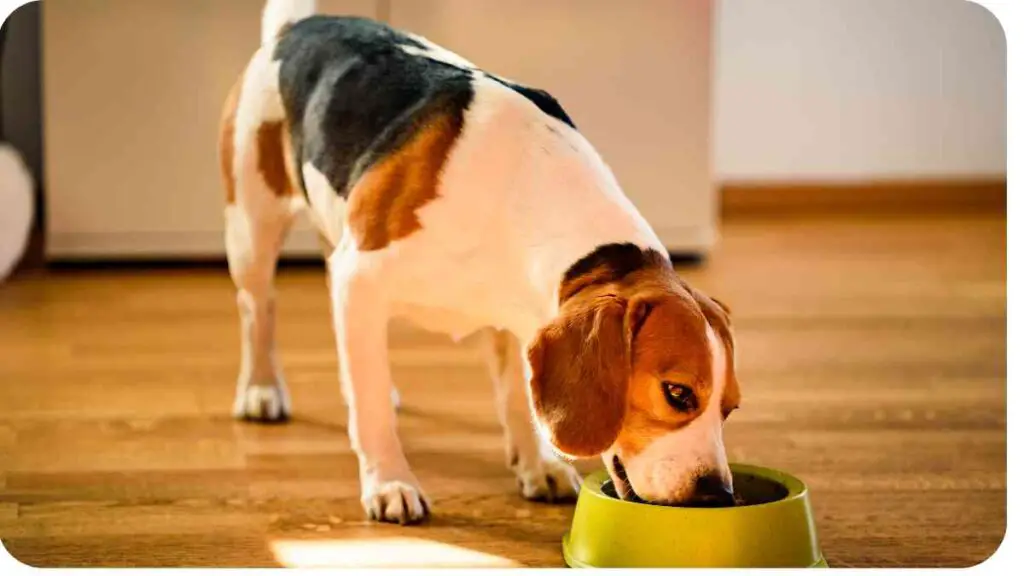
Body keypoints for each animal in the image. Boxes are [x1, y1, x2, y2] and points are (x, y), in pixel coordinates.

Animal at [220, 0, 741, 522]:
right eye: (678, 393)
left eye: (730, 409)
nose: (718, 495)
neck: (521, 191)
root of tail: (301, 25)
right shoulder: (361, 278)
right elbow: (371, 411)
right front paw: (389, 481)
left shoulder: (518, 318)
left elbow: (516, 396)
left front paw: (537, 465)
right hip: (252, 230)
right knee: (257, 310)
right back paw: (261, 389)